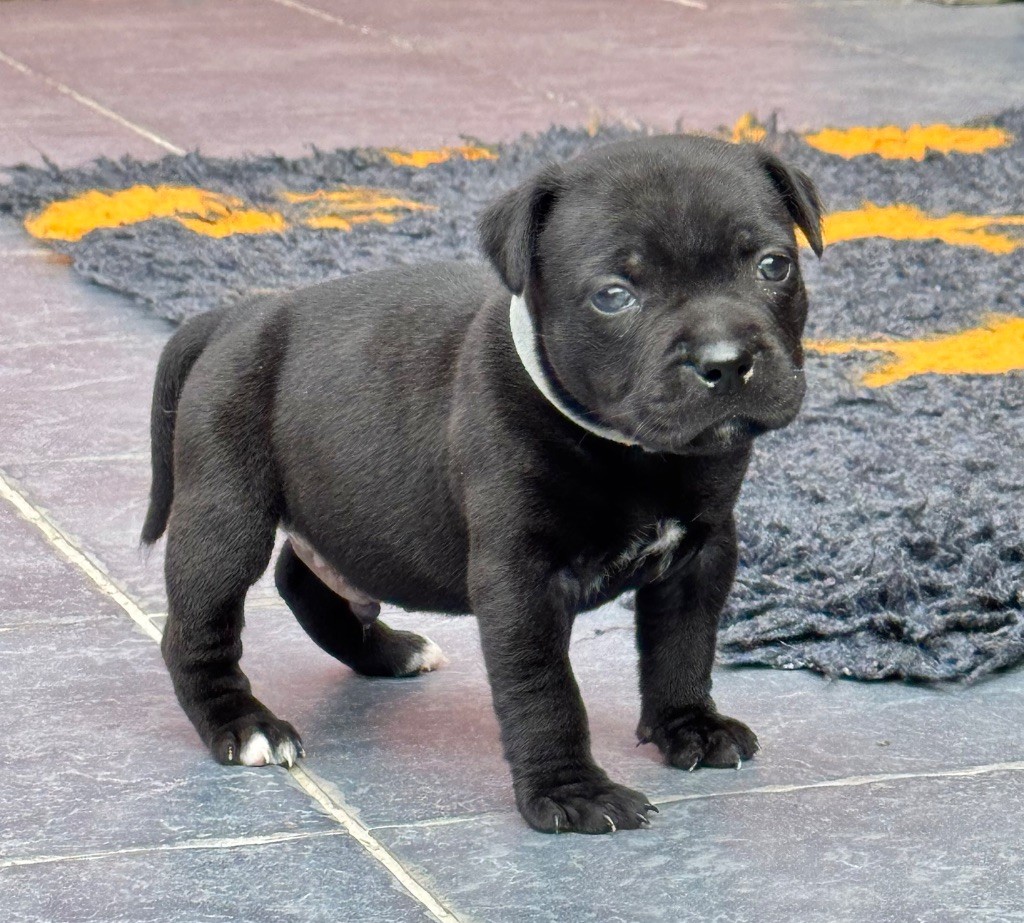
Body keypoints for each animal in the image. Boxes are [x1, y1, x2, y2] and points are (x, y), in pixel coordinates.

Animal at [142, 133, 823, 834]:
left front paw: (688, 725)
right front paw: (570, 790)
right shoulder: (521, 581)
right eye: (613, 295)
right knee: (197, 629)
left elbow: (684, 645)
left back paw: (387, 652)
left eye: (774, 266)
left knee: (302, 579)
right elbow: (544, 688)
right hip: (225, 517)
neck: (635, 453)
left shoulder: (702, 552)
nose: (726, 361)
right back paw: (242, 724)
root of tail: (236, 315)